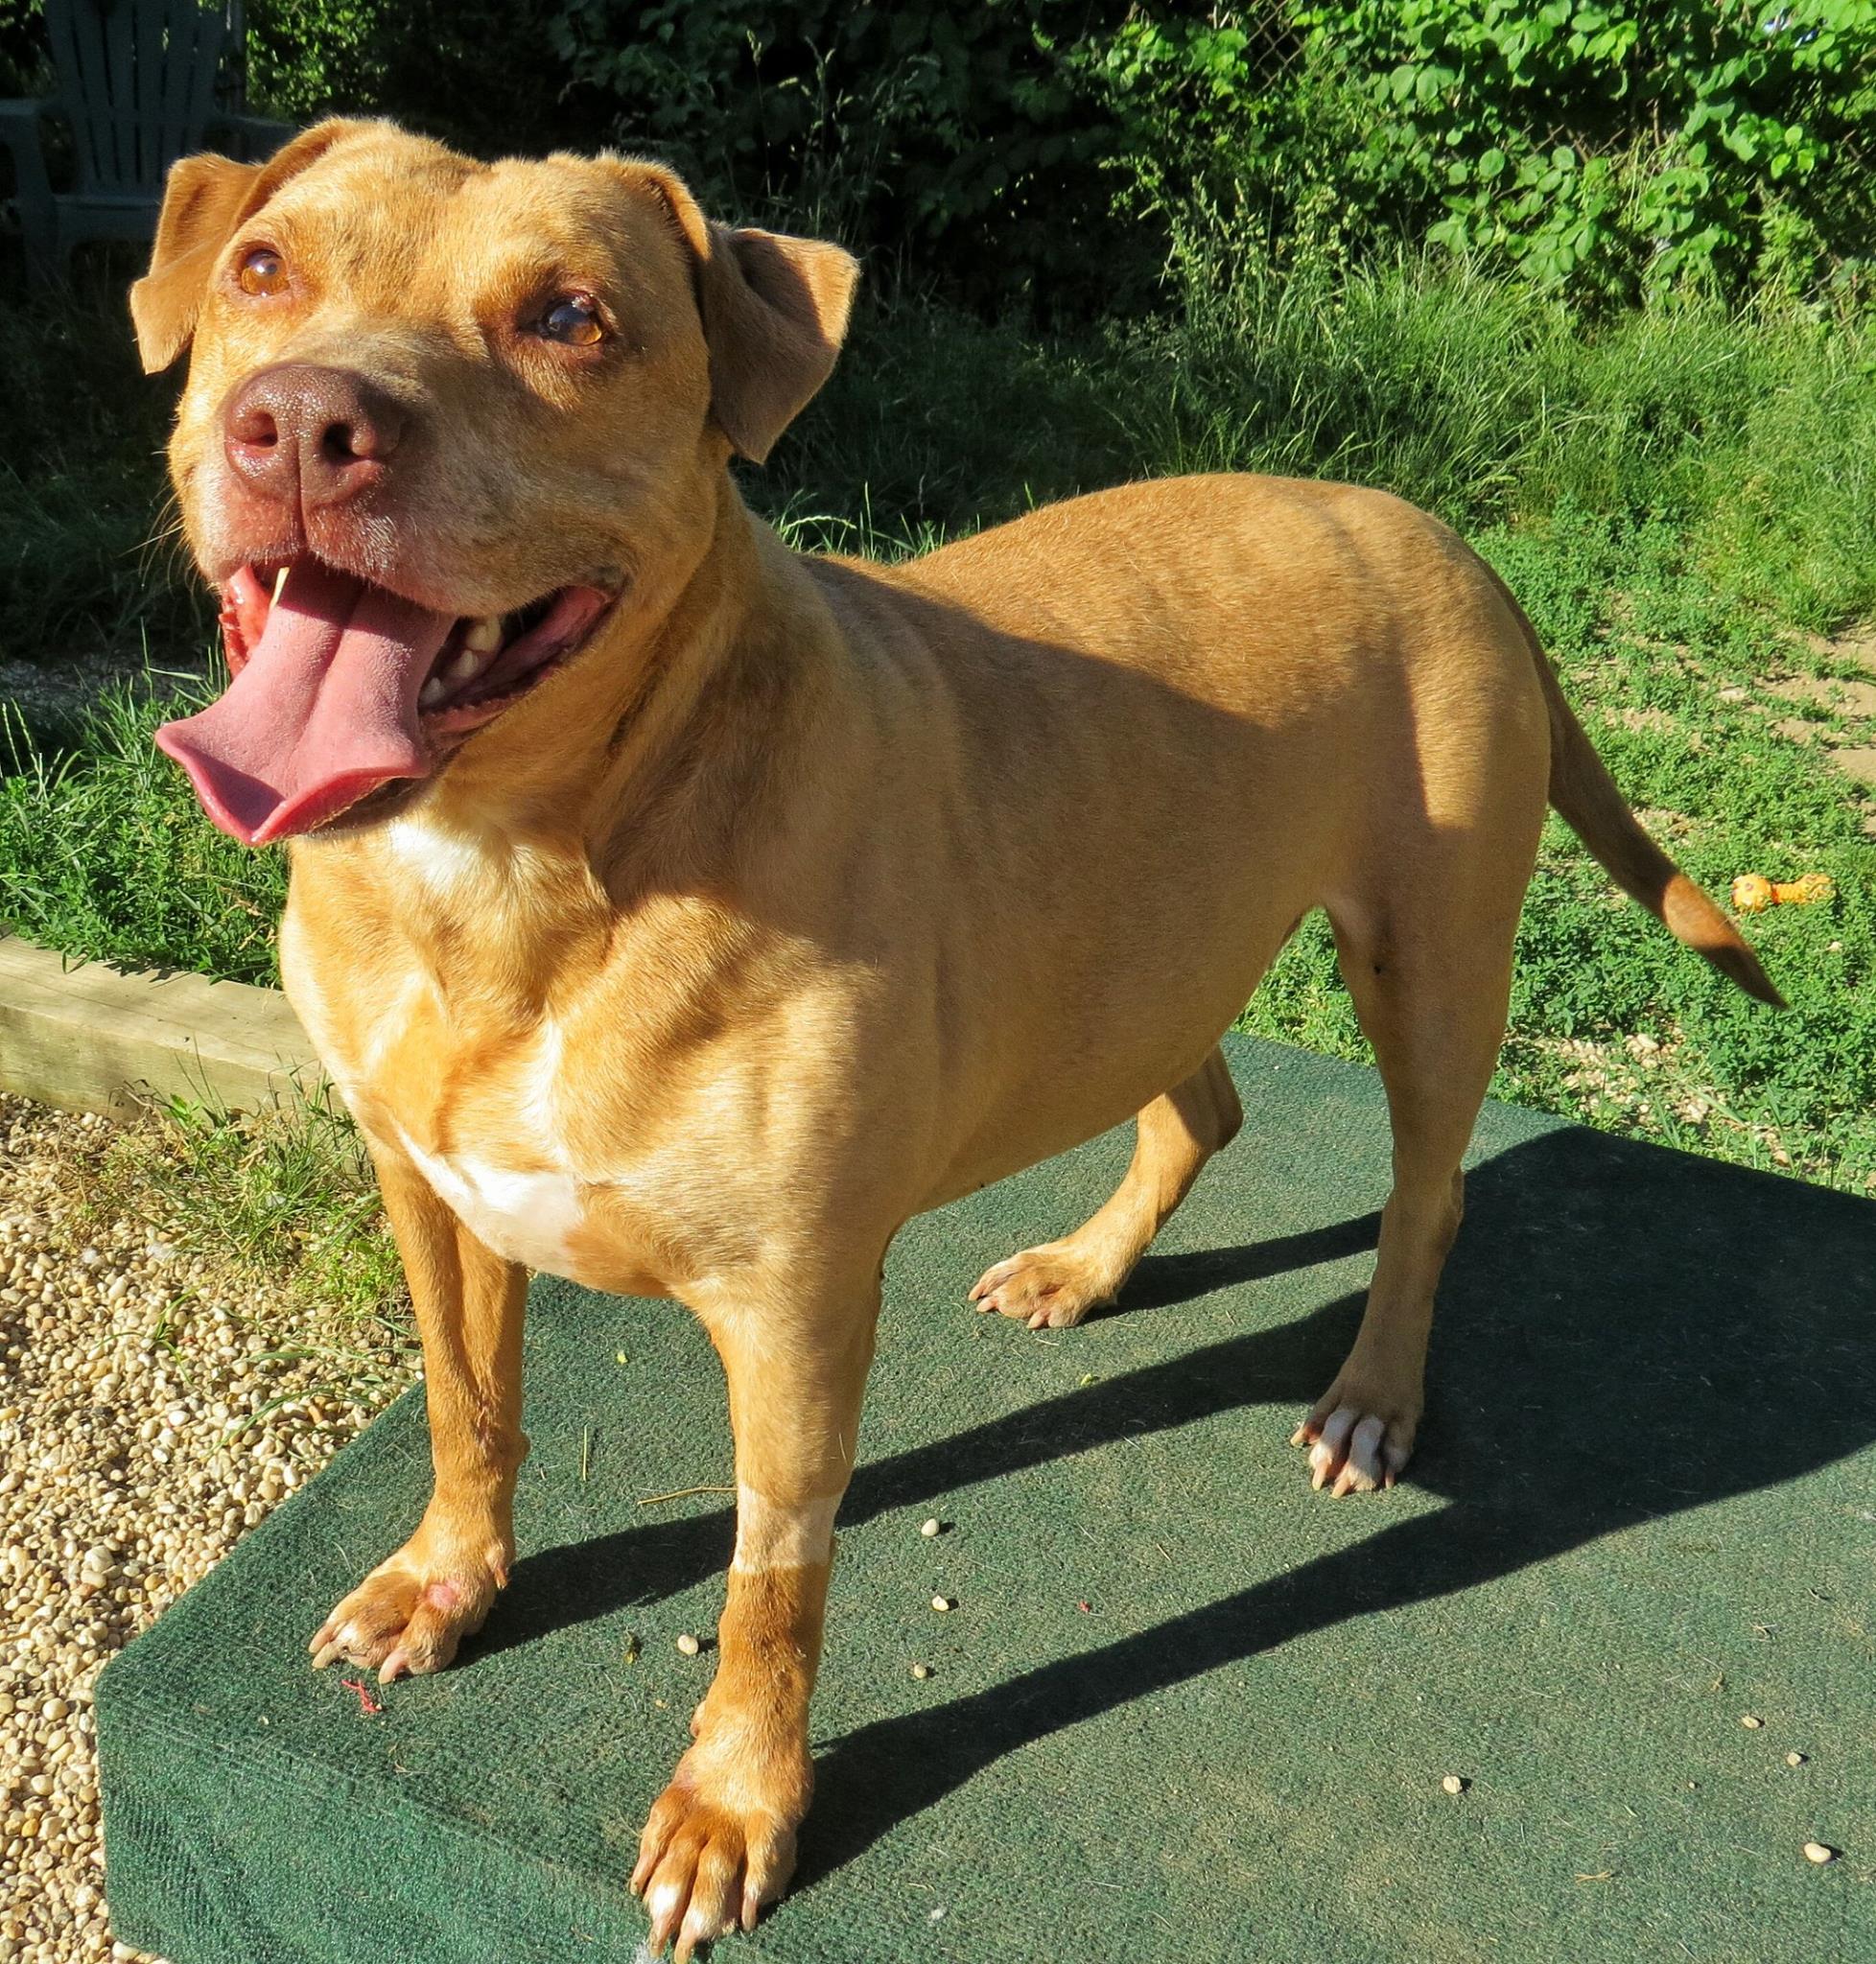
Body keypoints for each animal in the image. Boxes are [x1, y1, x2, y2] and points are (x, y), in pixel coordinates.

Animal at [129, 118, 1775, 1948]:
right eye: (262, 269)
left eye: (569, 317)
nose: (301, 423)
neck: (517, 878)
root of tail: (1442, 533)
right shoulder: (423, 1190)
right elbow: (464, 1406)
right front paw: (446, 1583)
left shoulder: (792, 1313)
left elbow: (772, 1585)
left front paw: (737, 1802)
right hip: (1142, 943)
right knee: (1199, 1105)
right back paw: (1085, 1264)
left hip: (1424, 963)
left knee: (1429, 1195)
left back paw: (1367, 1397)